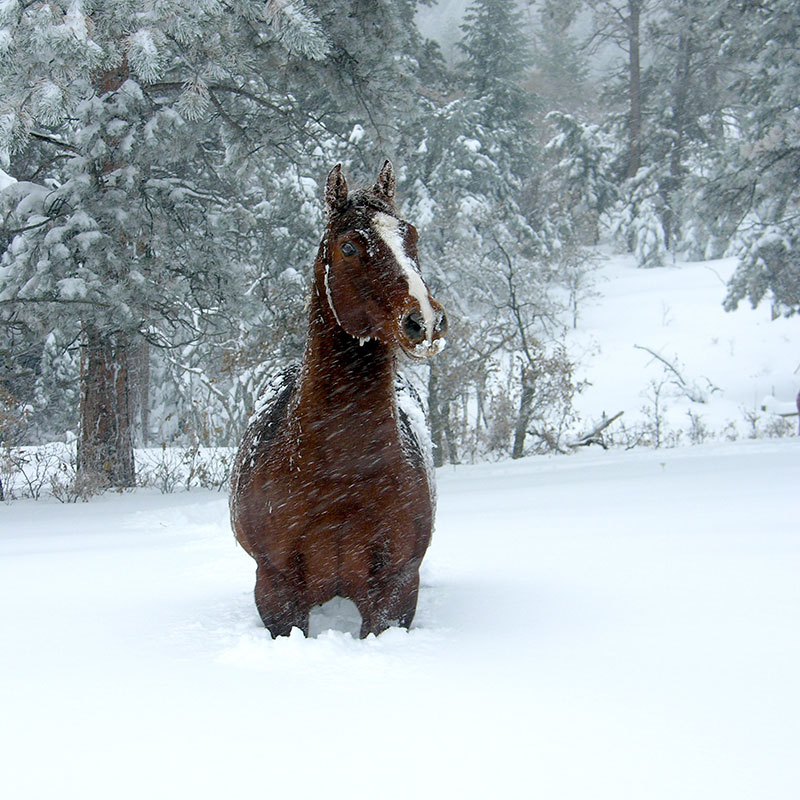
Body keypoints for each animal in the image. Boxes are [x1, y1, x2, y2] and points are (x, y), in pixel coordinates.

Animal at [229, 161, 447, 638]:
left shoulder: (395, 590)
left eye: (412, 235)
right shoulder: (276, 591)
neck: (341, 474)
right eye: (348, 246)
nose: (426, 322)